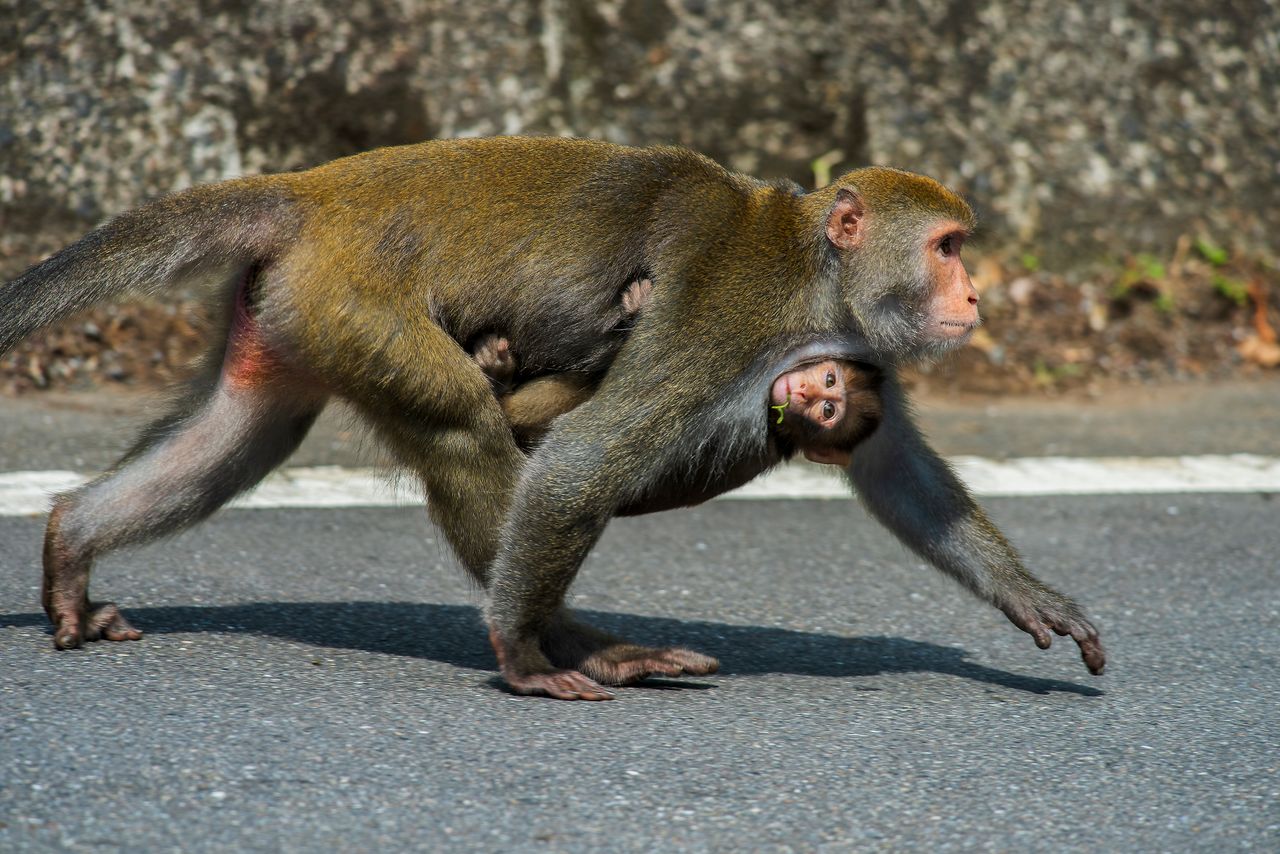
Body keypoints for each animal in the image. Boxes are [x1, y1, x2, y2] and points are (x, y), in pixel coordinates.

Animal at [0, 136, 1105, 701]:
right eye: (948, 246)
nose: (976, 295)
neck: (814, 278)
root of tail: (316, 190)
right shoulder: (728, 319)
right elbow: (582, 460)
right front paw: (526, 656)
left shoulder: (854, 349)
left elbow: (895, 468)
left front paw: (1029, 596)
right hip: (357, 297)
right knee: (460, 426)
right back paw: (569, 647)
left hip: (297, 310)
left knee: (235, 441)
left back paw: (72, 540)